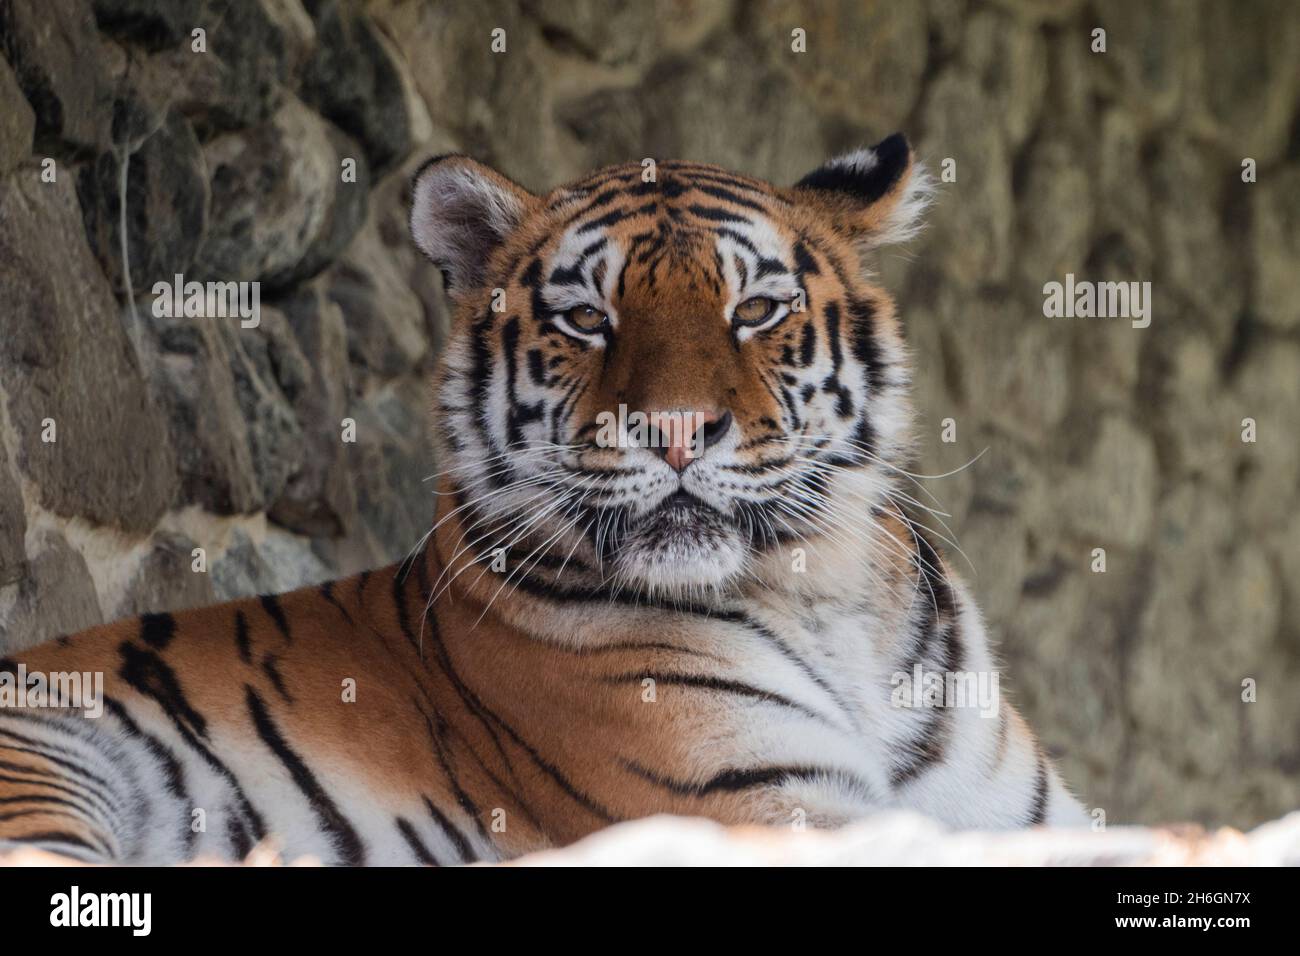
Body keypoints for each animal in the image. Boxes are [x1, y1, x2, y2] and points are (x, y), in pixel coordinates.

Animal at [0, 136, 1086, 868]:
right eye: (585, 319)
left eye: (755, 309)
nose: (675, 428)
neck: (825, 596)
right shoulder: (761, 809)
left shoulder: (1024, 811)